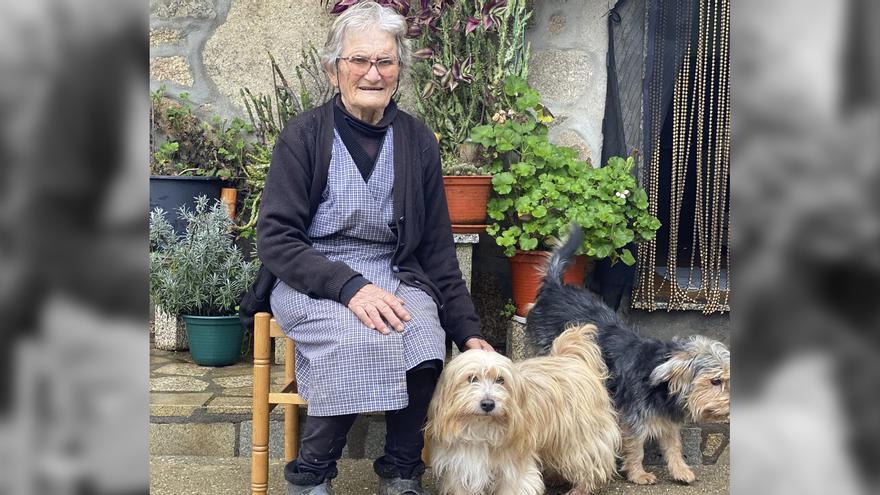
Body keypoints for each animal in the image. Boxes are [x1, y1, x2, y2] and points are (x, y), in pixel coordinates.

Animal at [424, 326, 620, 495]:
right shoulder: (461, 467)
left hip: (577, 437)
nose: (488, 404)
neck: (481, 429)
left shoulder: (513, 470)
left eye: (500, 380)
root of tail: (570, 357)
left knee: (590, 460)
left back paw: (581, 488)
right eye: (472, 378)